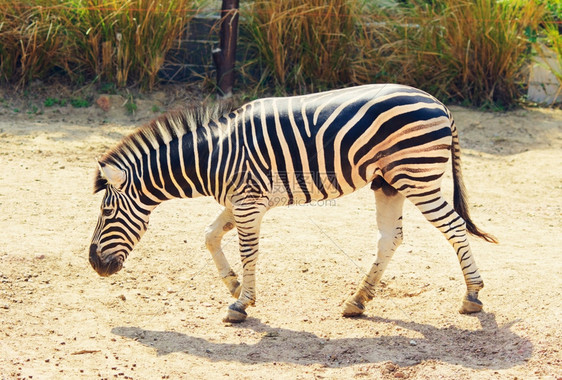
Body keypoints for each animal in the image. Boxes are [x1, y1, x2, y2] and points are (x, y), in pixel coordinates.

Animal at [88, 84, 494, 322]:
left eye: (106, 212)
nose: (93, 264)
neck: (214, 157)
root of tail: (438, 102)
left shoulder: (248, 203)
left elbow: (249, 252)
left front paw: (241, 303)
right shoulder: (240, 201)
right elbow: (209, 235)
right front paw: (234, 286)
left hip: (416, 176)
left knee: (454, 226)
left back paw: (472, 295)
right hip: (388, 182)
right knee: (389, 239)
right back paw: (357, 300)